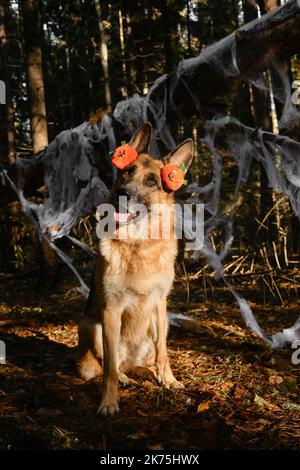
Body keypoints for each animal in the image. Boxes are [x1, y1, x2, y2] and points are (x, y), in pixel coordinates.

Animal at [77, 122, 193, 414]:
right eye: (127, 171)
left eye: (152, 181)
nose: (123, 194)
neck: (139, 245)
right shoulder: (111, 310)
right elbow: (107, 368)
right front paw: (109, 401)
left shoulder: (160, 305)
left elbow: (164, 352)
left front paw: (168, 380)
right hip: (91, 325)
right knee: (112, 364)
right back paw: (124, 377)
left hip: (152, 328)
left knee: (141, 361)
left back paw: (147, 372)